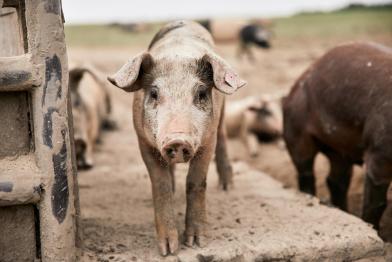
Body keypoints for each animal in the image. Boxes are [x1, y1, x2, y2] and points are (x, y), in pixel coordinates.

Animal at [108, 21, 245, 256]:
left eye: (201, 93)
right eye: (154, 93)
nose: (177, 140)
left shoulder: (207, 142)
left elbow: (196, 182)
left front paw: (196, 243)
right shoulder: (143, 142)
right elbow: (160, 185)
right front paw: (168, 250)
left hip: (222, 117)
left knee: (223, 138)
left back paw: (227, 187)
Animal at [284, 42, 392, 230]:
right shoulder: (379, 155)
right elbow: (376, 204)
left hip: (340, 150)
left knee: (336, 180)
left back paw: (344, 211)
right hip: (295, 130)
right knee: (306, 171)